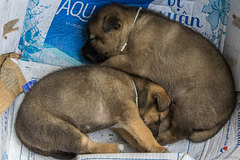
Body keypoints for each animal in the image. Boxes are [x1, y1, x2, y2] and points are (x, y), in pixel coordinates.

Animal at [14, 65, 171, 159]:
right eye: (159, 119)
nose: (157, 137)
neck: (135, 88)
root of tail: (18, 129)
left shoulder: (120, 125)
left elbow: (134, 138)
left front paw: (146, 149)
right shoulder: (129, 115)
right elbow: (145, 132)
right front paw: (157, 147)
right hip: (61, 129)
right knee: (85, 147)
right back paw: (115, 147)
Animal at [81, 2, 236, 145]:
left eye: (93, 39)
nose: (81, 52)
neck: (133, 29)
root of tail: (229, 111)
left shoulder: (132, 61)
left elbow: (108, 62)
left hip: (188, 106)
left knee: (181, 132)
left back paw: (160, 139)